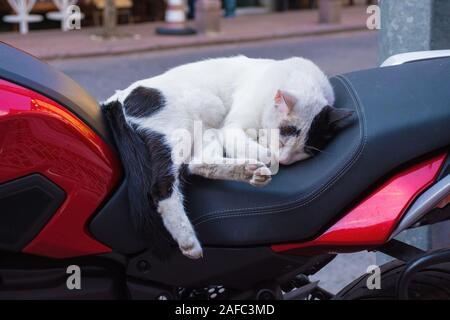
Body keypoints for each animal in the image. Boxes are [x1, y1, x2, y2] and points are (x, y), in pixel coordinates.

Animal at [101, 55, 352, 260]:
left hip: (207, 129)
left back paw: (249, 171)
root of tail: (116, 98)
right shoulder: (232, 127)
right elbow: (263, 151)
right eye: (282, 137)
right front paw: (268, 157)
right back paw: (188, 241)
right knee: (162, 186)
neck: (303, 78)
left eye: (303, 151)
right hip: (184, 126)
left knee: (197, 164)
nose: (285, 159)